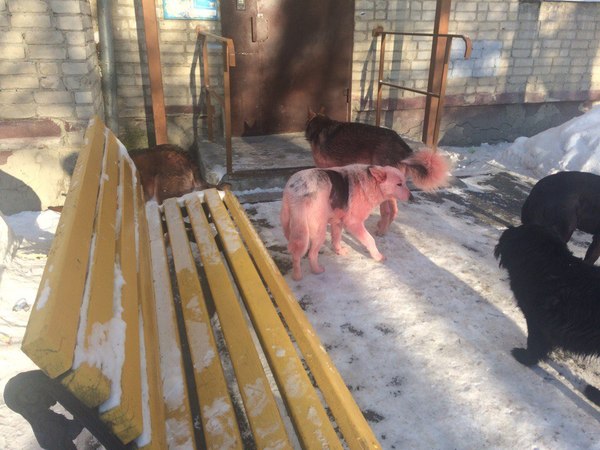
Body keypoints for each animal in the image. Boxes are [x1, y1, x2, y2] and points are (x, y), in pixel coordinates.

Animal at [282, 163, 412, 280]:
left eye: (405, 182)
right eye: (399, 184)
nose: (412, 198)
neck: (371, 183)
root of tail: (299, 190)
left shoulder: (337, 222)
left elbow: (336, 239)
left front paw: (339, 251)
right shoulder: (354, 223)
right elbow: (370, 240)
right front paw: (378, 256)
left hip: (291, 228)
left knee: (295, 251)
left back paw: (296, 275)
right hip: (319, 231)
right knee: (310, 254)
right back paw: (313, 271)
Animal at [308, 111, 448, 236]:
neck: (321, 125)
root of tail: (404, 148)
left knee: (388, 211)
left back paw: (381, 231)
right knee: (394, 211)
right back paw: (382, 227)